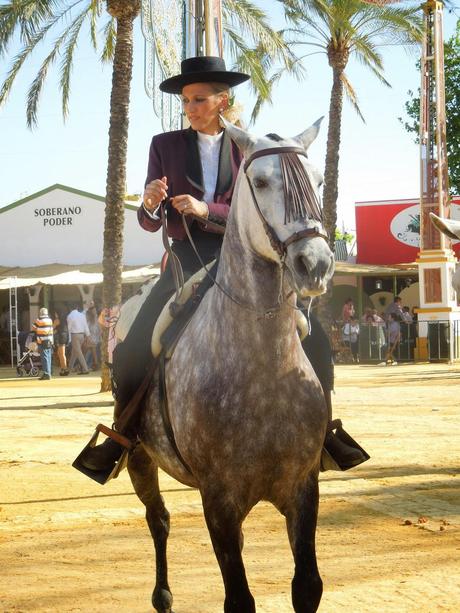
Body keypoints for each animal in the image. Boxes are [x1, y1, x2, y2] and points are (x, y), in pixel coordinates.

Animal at [127, 120, 336, 612]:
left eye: (319, 181)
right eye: (259, 182)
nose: (314, 264)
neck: (262, 373)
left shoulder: (303, 488)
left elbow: (307, 586)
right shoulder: (218, 500)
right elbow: (239, 599)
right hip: (139, 458)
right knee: (158, 520)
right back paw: (162, 596)